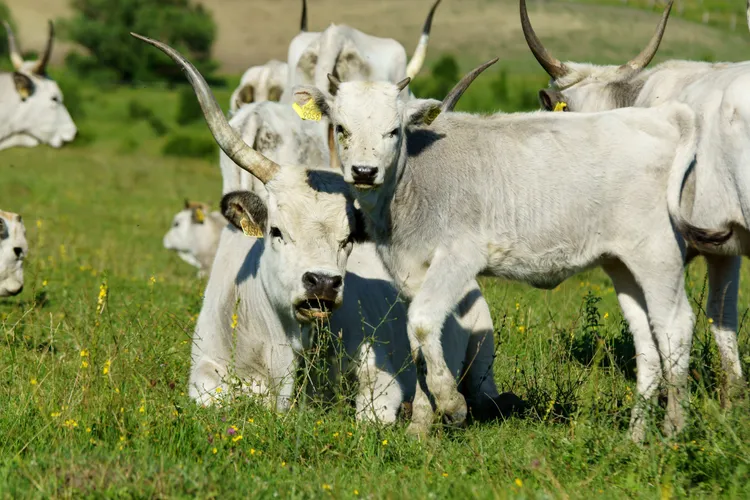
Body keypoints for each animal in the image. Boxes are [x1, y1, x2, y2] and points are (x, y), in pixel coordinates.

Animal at [132, 35, 524, 424]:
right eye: (276, 231)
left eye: (348, 238)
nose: (322, 282)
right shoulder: (205, 371)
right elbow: (210, 399)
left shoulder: (381, 378)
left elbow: (372, 415)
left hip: (481, 348)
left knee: (484, 394)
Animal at [292, 62, 728, 442]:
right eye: (341, 128)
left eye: (393, 131)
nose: (364, 172)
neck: (413, 181)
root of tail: (663, 117)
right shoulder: (412, 269)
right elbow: (418, 342)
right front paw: (420, 426)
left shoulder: (460, 255)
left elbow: (422, 322)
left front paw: (451, 404)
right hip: (621, 264)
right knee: (647, 339)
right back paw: (636, 436)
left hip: (657, 254)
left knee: (674, 326)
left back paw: (673, 428)